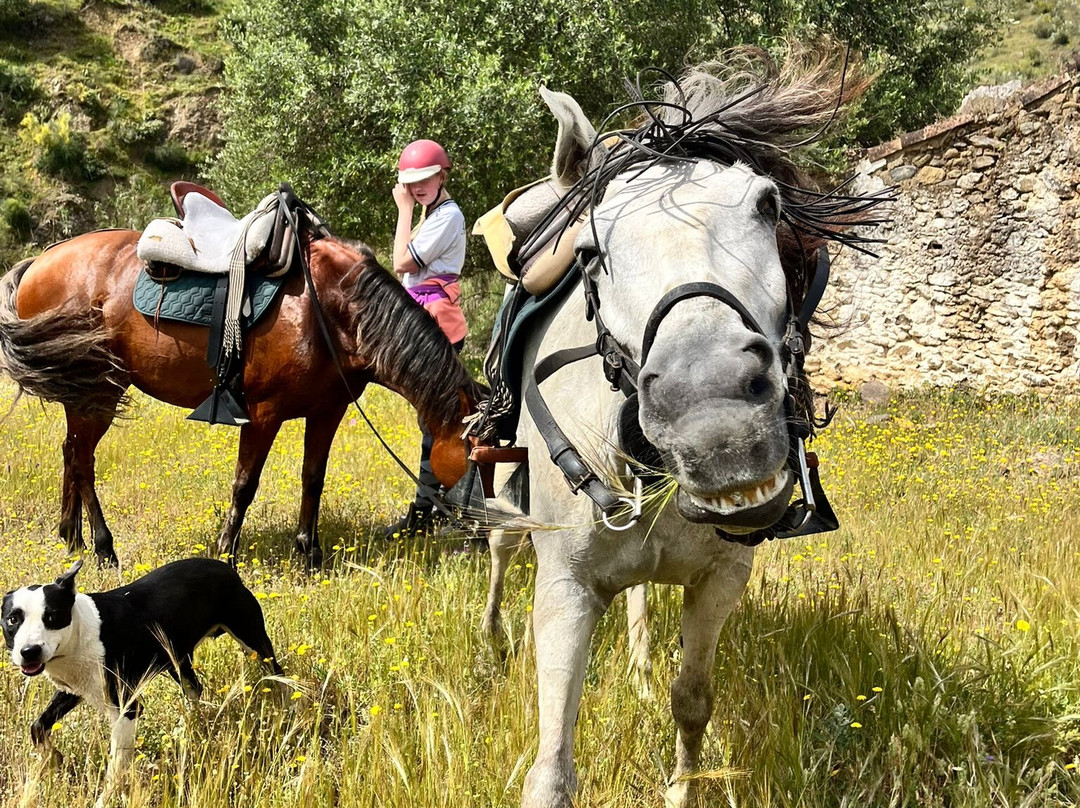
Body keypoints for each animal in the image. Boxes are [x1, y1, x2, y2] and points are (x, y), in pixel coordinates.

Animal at [0, 212, 486, 567]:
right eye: (478, 454)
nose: (484, 528)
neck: (330, 309)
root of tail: (40, 261)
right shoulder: (263, 413)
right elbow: (245, 484)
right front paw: (226, 553)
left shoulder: (327, 412)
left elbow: (313, 479)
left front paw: (309, 554)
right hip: (100, 391)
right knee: (83, 462)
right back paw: (103, 547)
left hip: (81, 392)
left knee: (71, 453)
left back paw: (72, 538)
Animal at [478, 46, 887, 807]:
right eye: (589, 250)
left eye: (769, 206)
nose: (714, 418)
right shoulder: (565, 589)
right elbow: (552, 766)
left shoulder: (724, 577)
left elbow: (691, 702)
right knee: (499, 544)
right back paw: (491, 640)